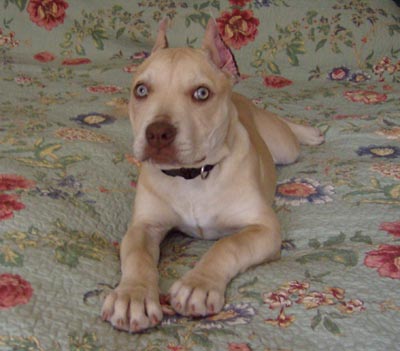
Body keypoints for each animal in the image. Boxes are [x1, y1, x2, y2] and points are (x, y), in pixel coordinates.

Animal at [101, 19, 324, 332]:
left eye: (201, 93)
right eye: (141, 90)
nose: (157, 133)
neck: (193, 176)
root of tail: (239, 97)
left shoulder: (265, 228)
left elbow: (227, 244)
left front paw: (198, 284)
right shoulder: (144, 226)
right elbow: (137, 256)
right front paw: (133, 296)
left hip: (283, 146)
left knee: (285, 129)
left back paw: (308, 132)